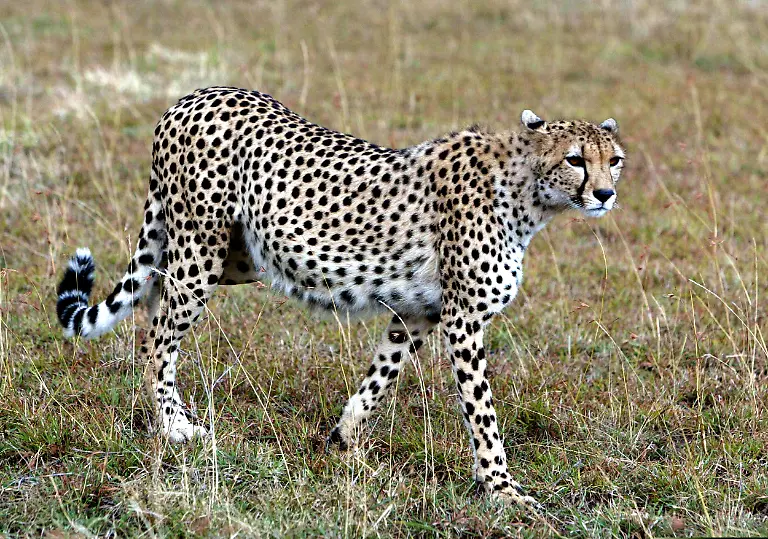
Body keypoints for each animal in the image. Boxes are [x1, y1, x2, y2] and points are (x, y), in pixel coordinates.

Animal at [56, 86, 626, 507]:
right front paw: (504, 491)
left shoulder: (419, 312)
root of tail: (194, 95)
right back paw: (173, 424)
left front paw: (344, 441)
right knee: (159, 333)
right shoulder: (463, 318)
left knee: (151, 295)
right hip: (202, 251)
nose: (605, 193)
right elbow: (482, 416)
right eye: (576, 159)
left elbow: (381, 376)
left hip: (235, 256)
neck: (530, 193)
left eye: (615, 160)